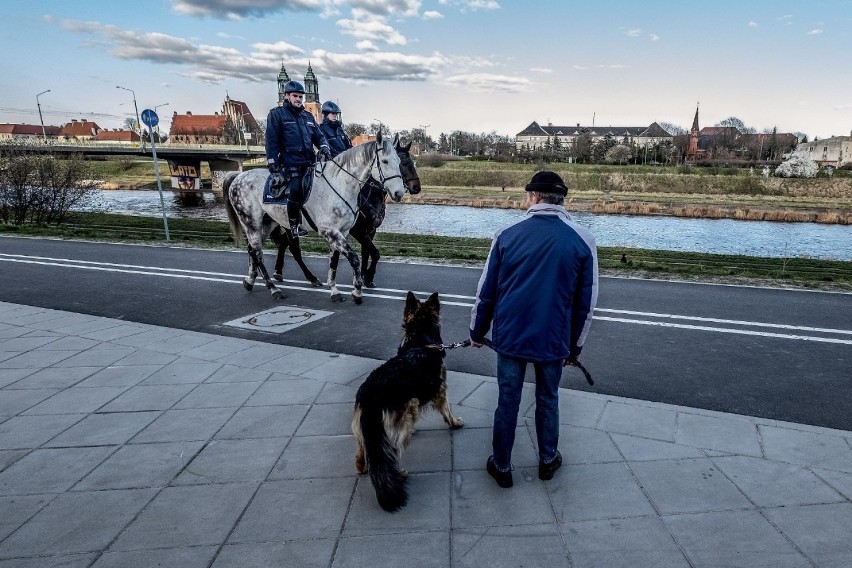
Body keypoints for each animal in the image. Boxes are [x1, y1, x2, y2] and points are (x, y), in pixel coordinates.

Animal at [226, 131, 406, 304]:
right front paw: (357, 291)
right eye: (385, 161)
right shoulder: (331, 231)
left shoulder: (343, 232)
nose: (399, 193)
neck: (341, 184)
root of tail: (238, 176)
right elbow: (354, 259)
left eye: (399, 161)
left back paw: (250, 281)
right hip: (251, 223)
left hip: (266, 225)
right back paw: (273, 288)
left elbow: (334, 261)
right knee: (258, 253)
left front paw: (334, 290)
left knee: (252, 250)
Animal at [270, 138, 422, 290]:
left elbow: (366, 252)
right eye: (403, 163)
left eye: (408, 162)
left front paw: (364, 276)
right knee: (294, 249)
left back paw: (278, 271)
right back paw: (309, 277)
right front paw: (367, 276)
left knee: (283, 242)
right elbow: (375, 253)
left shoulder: (370, 230)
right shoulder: (358, 230)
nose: (416, 188)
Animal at [350, 292, 462, 510]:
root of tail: (370, 397)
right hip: (402, 417)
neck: (420, 340)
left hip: (365, 431)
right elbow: (447, 410)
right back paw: (399, 475)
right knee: (390, 453)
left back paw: (363, 468)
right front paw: (454, 423)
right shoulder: (440, 390)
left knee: (362, 454)